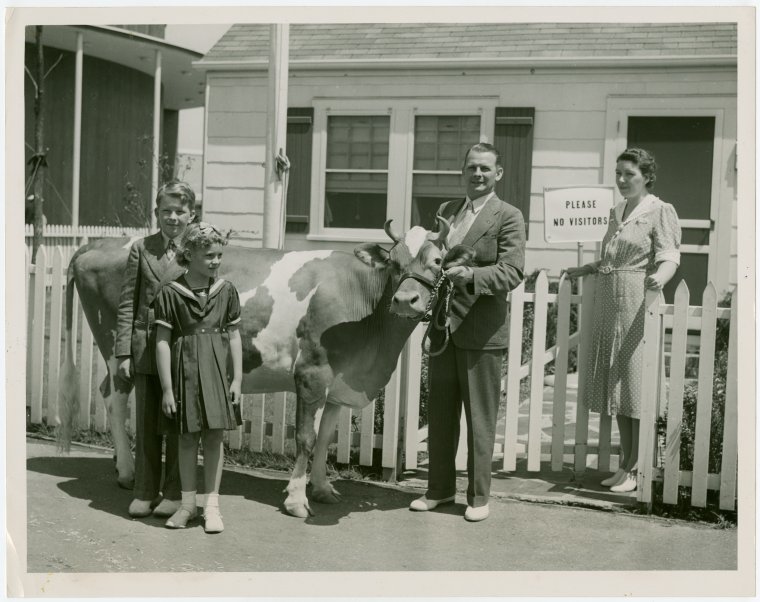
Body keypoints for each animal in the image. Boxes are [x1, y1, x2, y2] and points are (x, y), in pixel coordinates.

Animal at [58, 216, 458, 516]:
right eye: (394, 263)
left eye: (438, 261)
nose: (405, 299)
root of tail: (95, 245)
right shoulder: (310, 373)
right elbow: (306, 437)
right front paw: (296, 499)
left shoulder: (340, 382)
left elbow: (325, 437)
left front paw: (322, 488)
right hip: (117, 347)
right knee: (115, 398)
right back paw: (128, 473)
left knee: (108, 392)